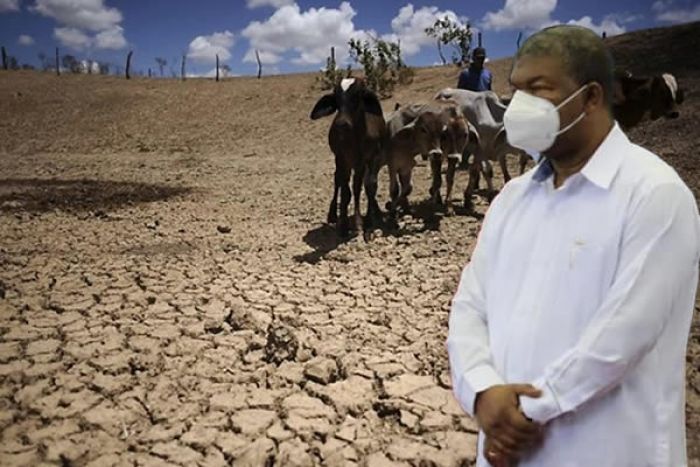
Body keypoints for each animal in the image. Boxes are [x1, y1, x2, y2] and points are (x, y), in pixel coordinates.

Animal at [312, 78, 388, 238]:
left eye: (358, 96)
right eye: (336, 99)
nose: (341, 123)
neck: (357, 137)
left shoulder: (372, 158)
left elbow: (369, 186)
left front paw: (366, 224)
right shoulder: (342, 159)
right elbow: (346, 191)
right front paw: (344, 225)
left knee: (361, 184)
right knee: (338, 181)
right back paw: (333, 214)